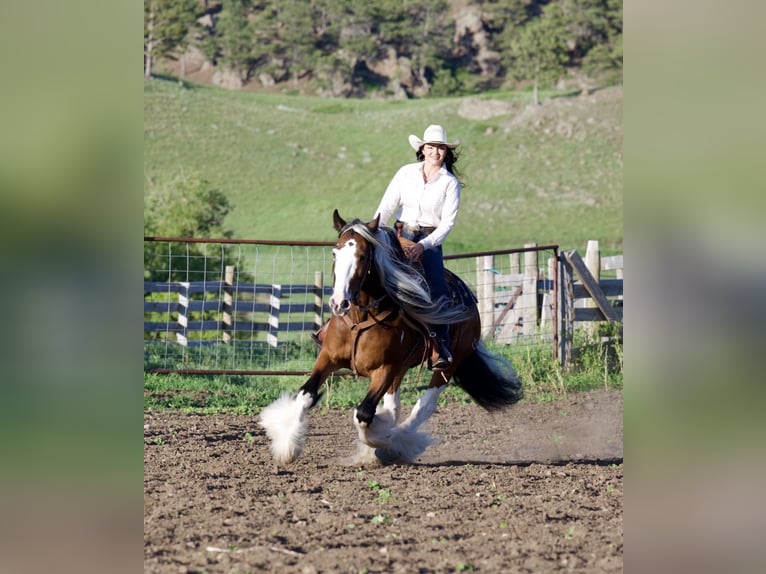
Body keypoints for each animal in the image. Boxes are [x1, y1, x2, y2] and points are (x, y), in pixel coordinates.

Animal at [259, 209, 522, 465]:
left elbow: (363, 414)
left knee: (425, 405)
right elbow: (306, 396)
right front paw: (287, 448)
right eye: (335, 253)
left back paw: (400, 443)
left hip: (448, 365)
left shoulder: (385, 369)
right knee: (394, 407)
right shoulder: (328, 357)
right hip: (400, 370)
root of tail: (469, 296)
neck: (360, 318)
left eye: (363, 256)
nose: (338, 303)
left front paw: (384, 443)